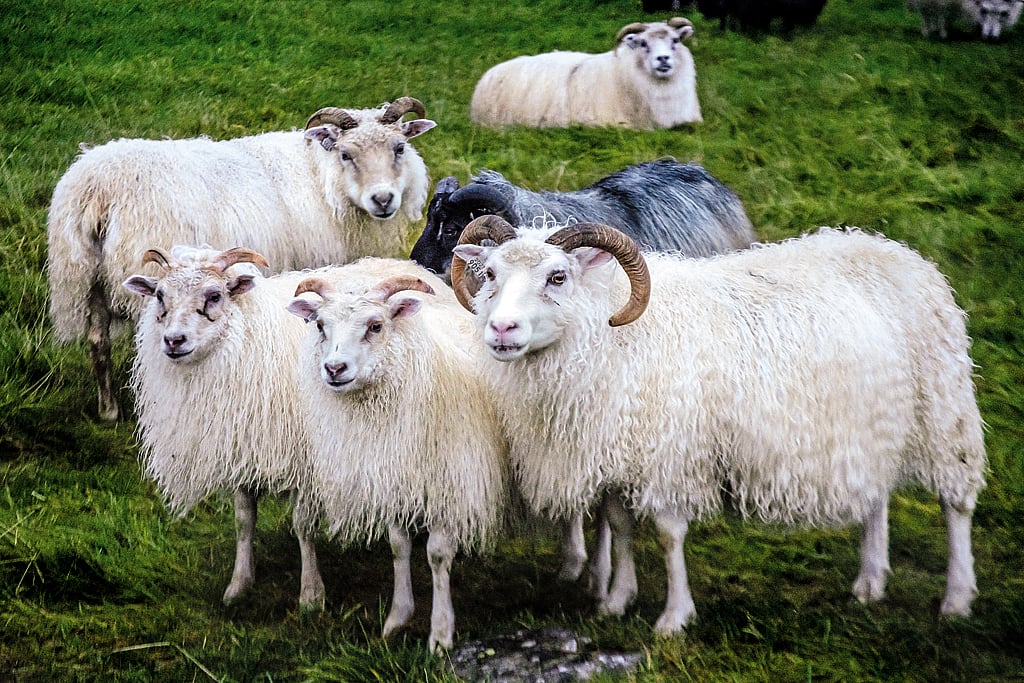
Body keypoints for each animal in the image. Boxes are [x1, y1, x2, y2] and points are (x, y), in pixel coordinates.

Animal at [47, 97, 435, 421]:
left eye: (399, 148)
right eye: (346, 154)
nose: (383, 199)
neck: (319, 177)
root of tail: (98, 189)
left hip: (85, 278)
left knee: (98, 342)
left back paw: (108, 411)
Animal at [122, 245, 447, 613]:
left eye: (214, 295)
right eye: (160, 296)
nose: (174, 340)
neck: (247, 341)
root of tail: (407, 264)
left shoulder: (307, 462)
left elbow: (303, 526)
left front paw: (311, 594)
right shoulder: (242, 449)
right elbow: (243, 521)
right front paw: (239, 585)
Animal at [285, 271, 509, 652]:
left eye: (375, 326)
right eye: (320, 325)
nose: (334, 368)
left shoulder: (449, 485)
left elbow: (437, 556)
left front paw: (440, 634)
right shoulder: (393, 479)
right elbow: (398, 547)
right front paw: (397, 618)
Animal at [450, 216, 987, 635]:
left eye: (558, 276)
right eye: (491, 273)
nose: (501, 329)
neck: (610, 334)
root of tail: (903, 254)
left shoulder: (672, 453)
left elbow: (669, 535)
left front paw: (673, 617)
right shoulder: (619, 453)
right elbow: (621, 528)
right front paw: (617, 601)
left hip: (943, 408)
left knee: (956, 501)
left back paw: (957, 599)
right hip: (872, 422)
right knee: (876, 496)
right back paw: (869, 584)